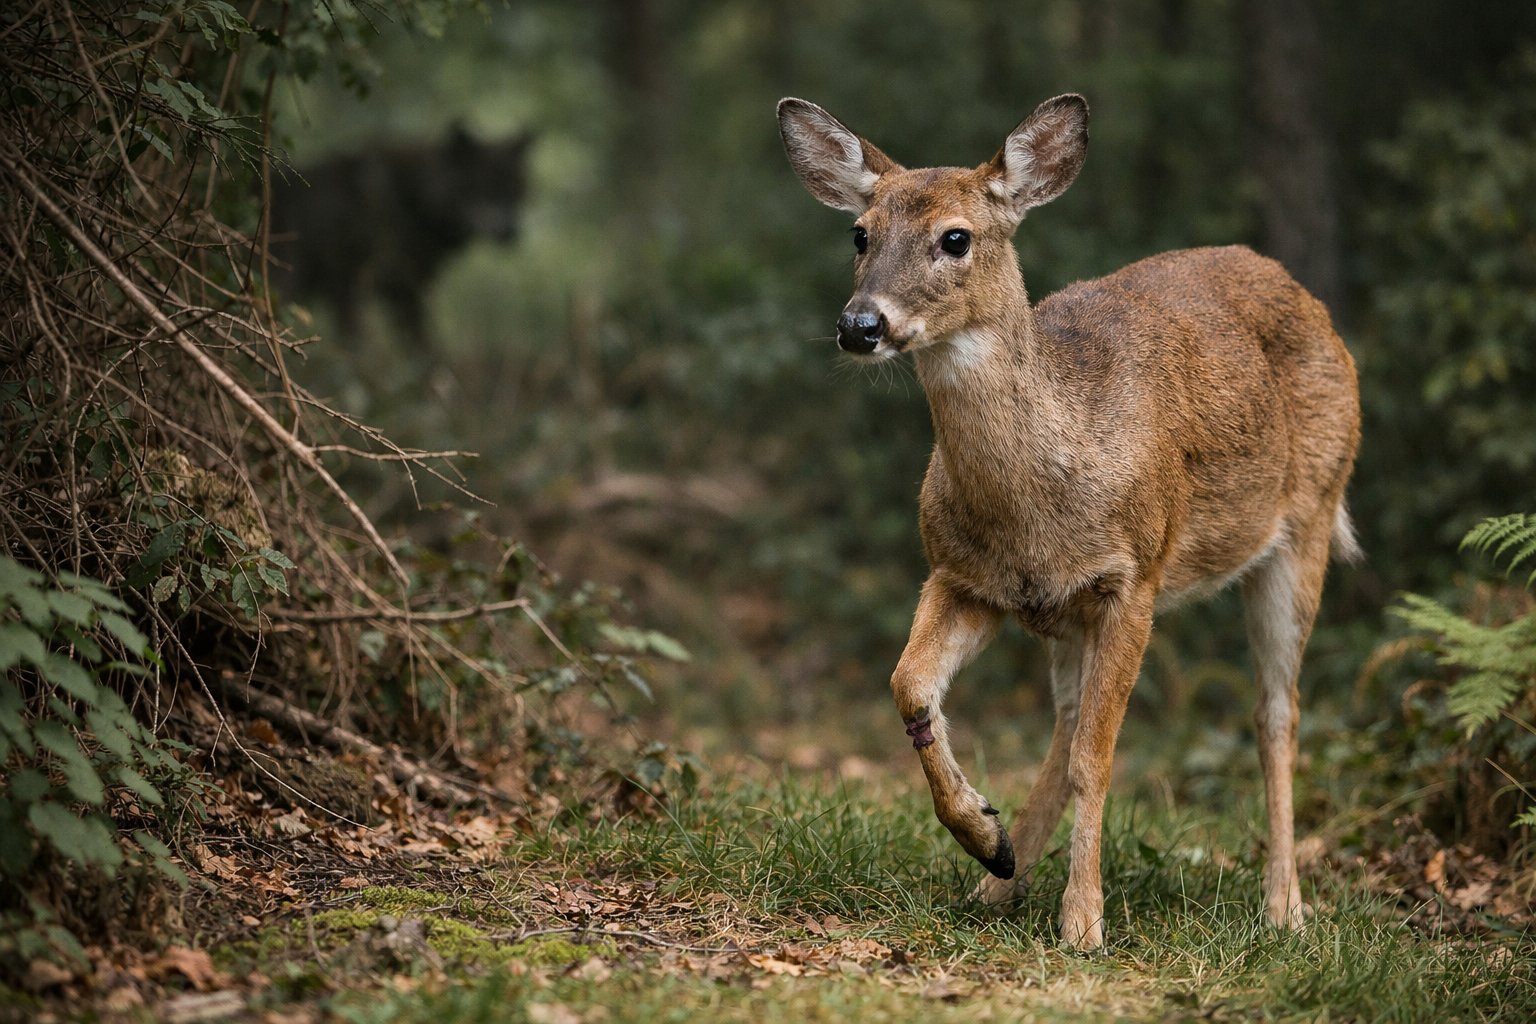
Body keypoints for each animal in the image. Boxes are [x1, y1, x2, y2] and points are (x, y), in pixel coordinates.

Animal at [776, 93, 1361, 950]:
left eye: (956, 237)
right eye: (860, 232)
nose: (860, 326)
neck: (1032, 510)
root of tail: (1302, 292)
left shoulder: (1133, 577)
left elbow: (1100, 758)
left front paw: (1084, 922)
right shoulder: (962, 574)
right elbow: (909, 686)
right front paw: (984, 835)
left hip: (1309, 517)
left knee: (1275, 711)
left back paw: (1284, 907)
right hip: (1066, 618)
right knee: (1065, 721)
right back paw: (997, 879)